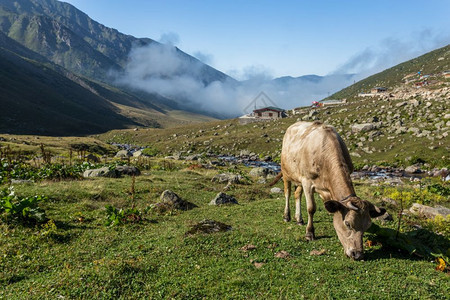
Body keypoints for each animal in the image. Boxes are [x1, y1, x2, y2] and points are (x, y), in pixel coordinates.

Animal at [274, 120, 384, 258]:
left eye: (367, 226)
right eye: (348, 224)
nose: (357, 254)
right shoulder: (307, 181)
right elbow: (311, 208)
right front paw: (310, 233)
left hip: (298, 178)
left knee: (297, 194)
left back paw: (299, 219)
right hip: (286, 173)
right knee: (287, 193)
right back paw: (287, 216)